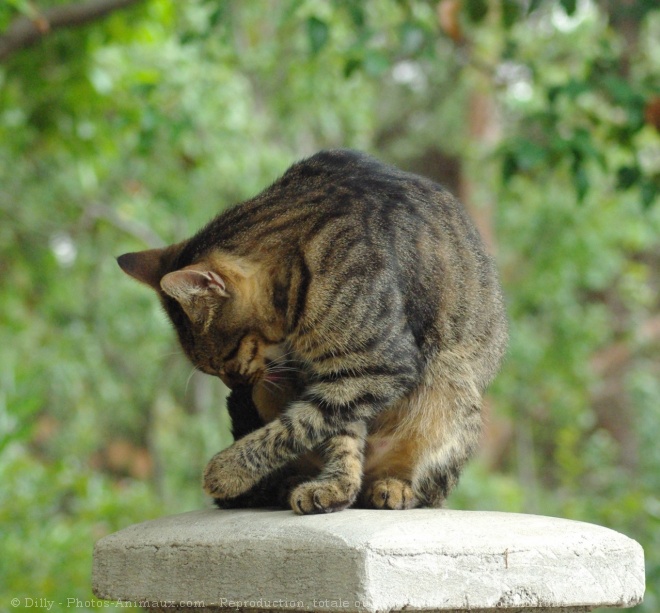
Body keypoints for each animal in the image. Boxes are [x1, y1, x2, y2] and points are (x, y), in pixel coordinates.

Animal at [118, 148, 508, 512]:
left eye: (224, 362)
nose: (235, 386)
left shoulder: (376, 365)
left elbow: (299, 425)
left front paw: (227, 470)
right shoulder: (337, 376)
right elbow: (336, 433)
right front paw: (337, 486)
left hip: (451, 383)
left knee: (432, 490)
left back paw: (394, 486)